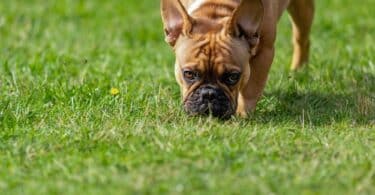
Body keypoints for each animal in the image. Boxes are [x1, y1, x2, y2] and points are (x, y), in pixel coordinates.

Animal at [161, 0, 314, 118]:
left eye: (233, 76)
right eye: (189, 74)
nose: (209, 94)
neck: (217, 9)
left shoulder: (265, 52)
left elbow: (251, 89)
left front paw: (242, 114)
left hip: (302, 9)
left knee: (301, 39)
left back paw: (299, 69)